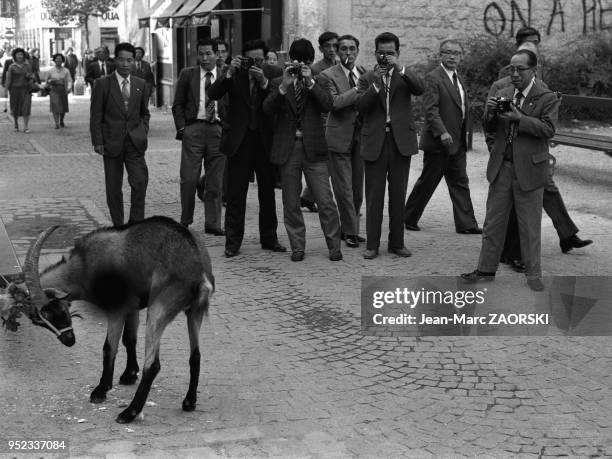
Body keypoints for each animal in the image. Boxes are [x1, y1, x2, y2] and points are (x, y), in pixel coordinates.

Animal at [23, 217, 215, 426]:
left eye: (53, 312)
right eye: (39, 321)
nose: (69, 340)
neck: (84, 265)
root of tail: (198, 270)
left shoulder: (116, 309)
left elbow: (109, 347)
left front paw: (101, 390)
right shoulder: (132, 307)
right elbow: (129, 339)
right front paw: (129, 374)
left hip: (159, 308)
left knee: (153, 364)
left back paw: (128, 413)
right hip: (193, 312)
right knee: (195, 356)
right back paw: (189, 402)